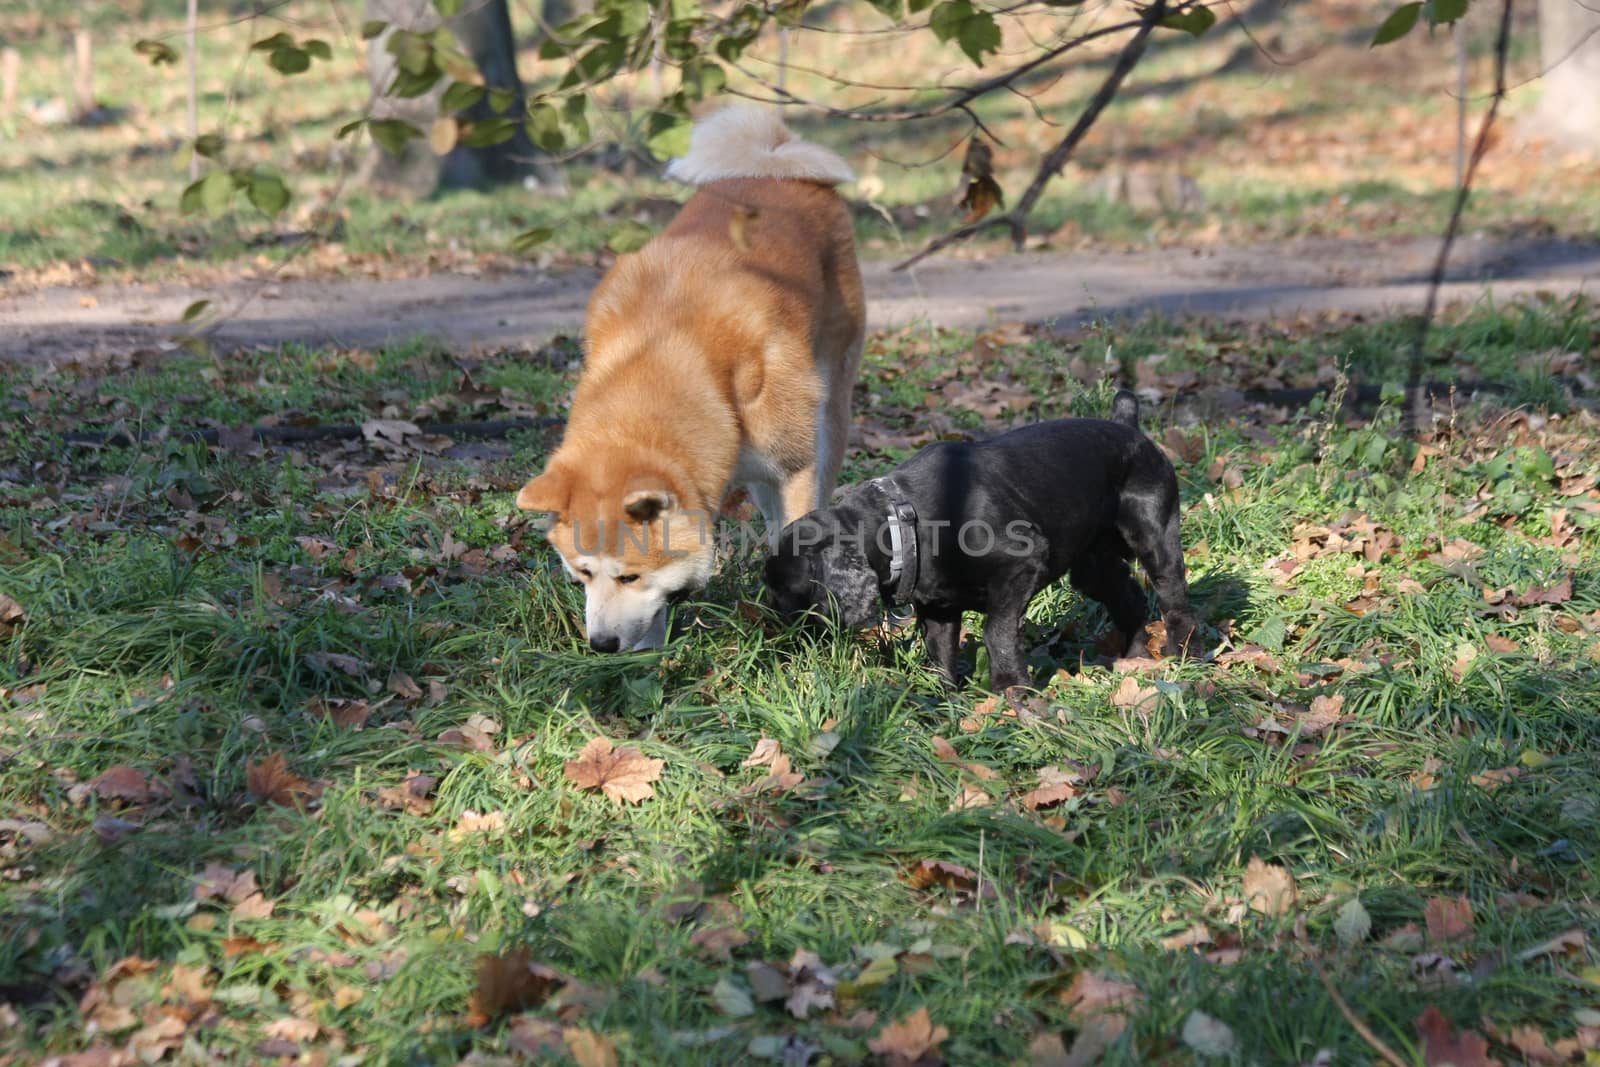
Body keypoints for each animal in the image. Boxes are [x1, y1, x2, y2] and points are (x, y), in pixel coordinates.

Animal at [515, 106, 864, 652]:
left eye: (629, 576)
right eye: (582, 573)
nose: (601, 645)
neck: (669, 352)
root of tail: (774, 166)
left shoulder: (795, 464)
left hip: (827, 407)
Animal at [764, 391, 1203, 694]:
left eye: (785, 590)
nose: (771, 624)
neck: (902, 520)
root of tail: (1131, 429)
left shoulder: (1020, 567)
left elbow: (996, 632)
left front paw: (1012, 690)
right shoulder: (939, 608)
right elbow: (940, 655)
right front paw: (941, 702)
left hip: (1156, 542)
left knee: (1175, 604)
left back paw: (1186, 660)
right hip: (1094, 568)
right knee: (1130, 600)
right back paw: (1135, 661)